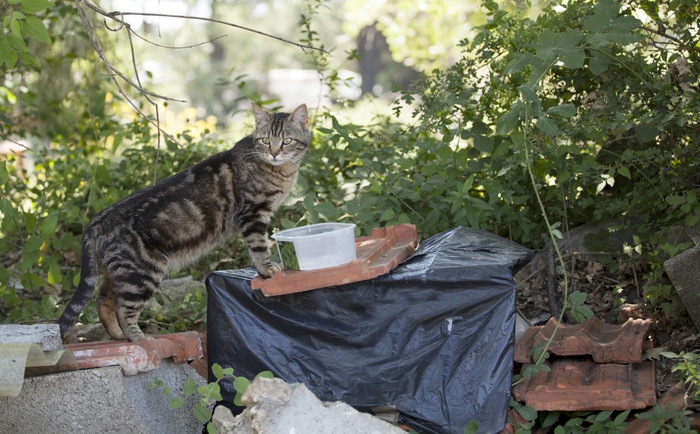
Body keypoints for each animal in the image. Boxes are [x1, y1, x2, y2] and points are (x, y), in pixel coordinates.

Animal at [58, 103, 310, 340]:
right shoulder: (253, 214)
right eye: (266, 140)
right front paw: (266, 269)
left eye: (286, 141)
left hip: (119, 272)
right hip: (142, 273)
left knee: (103, 302)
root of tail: (93, 222)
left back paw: (120, 336)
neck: (281, 171)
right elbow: (259, 247)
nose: (274, 153)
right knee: (123, 309)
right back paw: (139, 337)